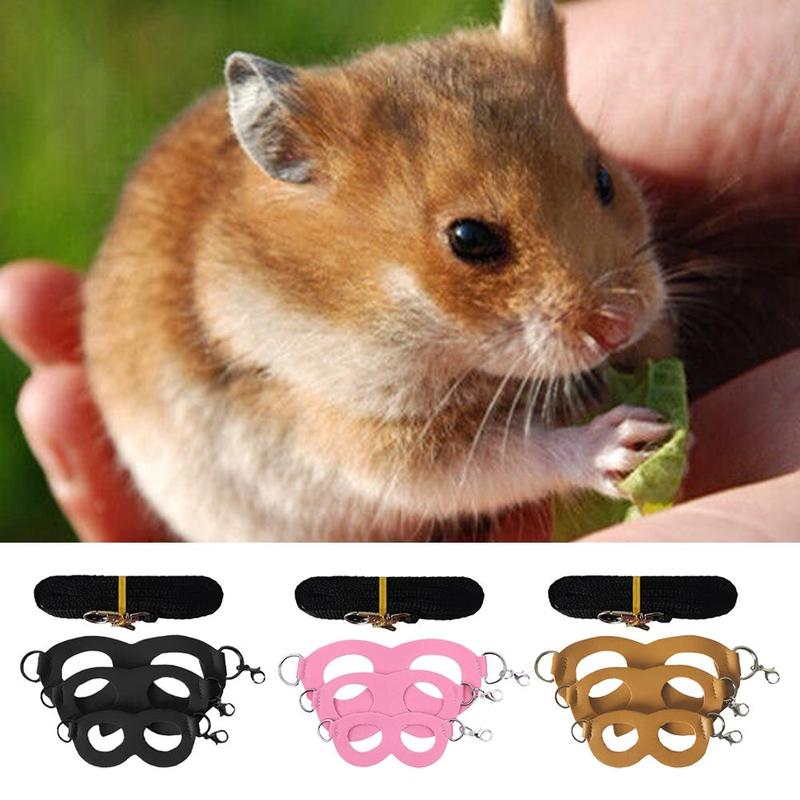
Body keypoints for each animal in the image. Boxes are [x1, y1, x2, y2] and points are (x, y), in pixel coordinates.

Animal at [83, 0, 675, 541]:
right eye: (470, 238)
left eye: (604, 179)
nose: (622, 324)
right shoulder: (381, 442)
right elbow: (512, 455)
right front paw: (631, 438)